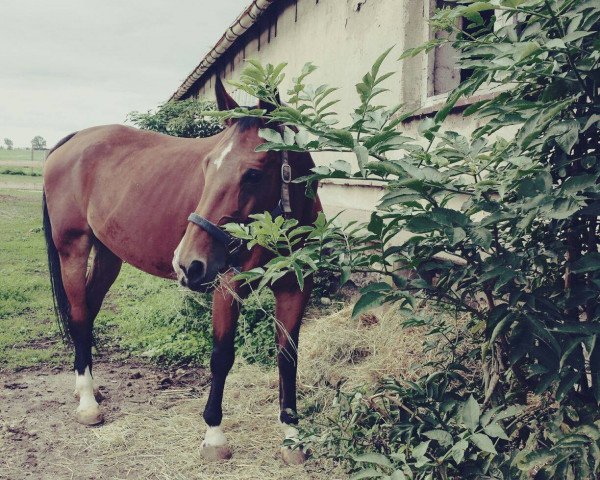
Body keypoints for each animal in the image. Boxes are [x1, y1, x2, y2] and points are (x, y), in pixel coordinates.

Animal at [42, 78, 322, 462]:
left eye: (252, 173)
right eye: (207, 166)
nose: (186, 262)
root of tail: (74, 140)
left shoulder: (295, 287)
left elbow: (288, 356)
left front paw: (291, 435)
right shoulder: (227, 285)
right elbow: (221, 356)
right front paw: (214, 436)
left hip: (108, 255)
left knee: (87, 311)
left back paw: (87, 387)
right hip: (73, 249)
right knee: (81, 316)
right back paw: (87, 402)